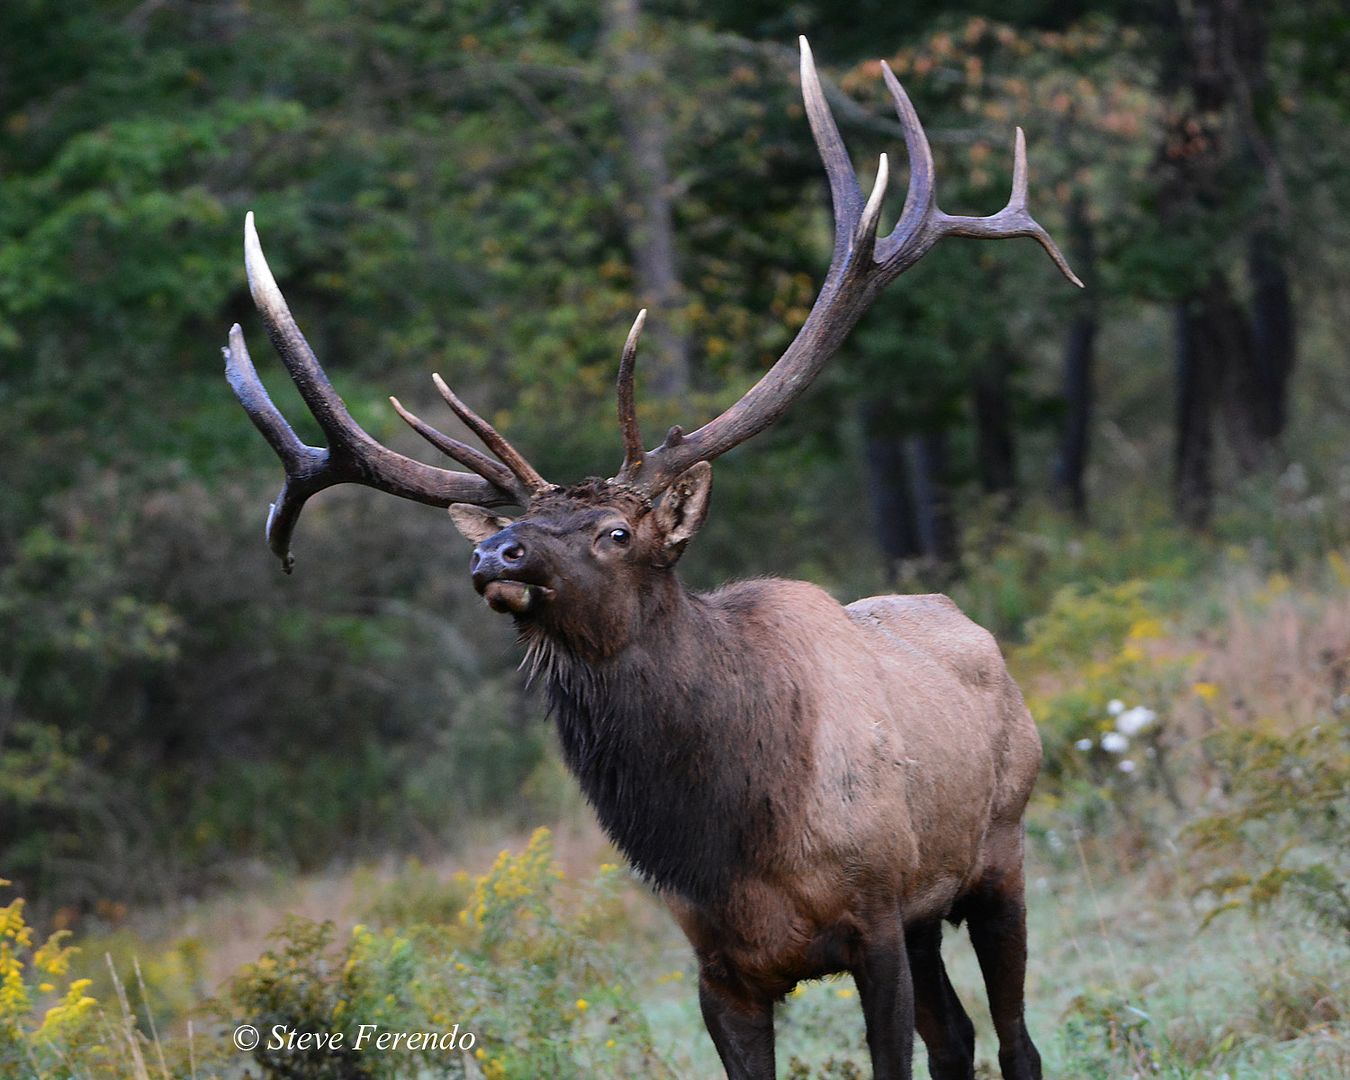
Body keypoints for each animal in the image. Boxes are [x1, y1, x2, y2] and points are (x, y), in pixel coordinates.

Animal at [226, 37, 1080, 1080]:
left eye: (618, 533)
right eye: (523, 524)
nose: (496, 553)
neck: (727, 838)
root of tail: (977, 632)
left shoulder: (874, 918)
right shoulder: (719, 969)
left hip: (999, 851)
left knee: (1016, 1039)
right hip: (932, 907)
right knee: (957, 1036)